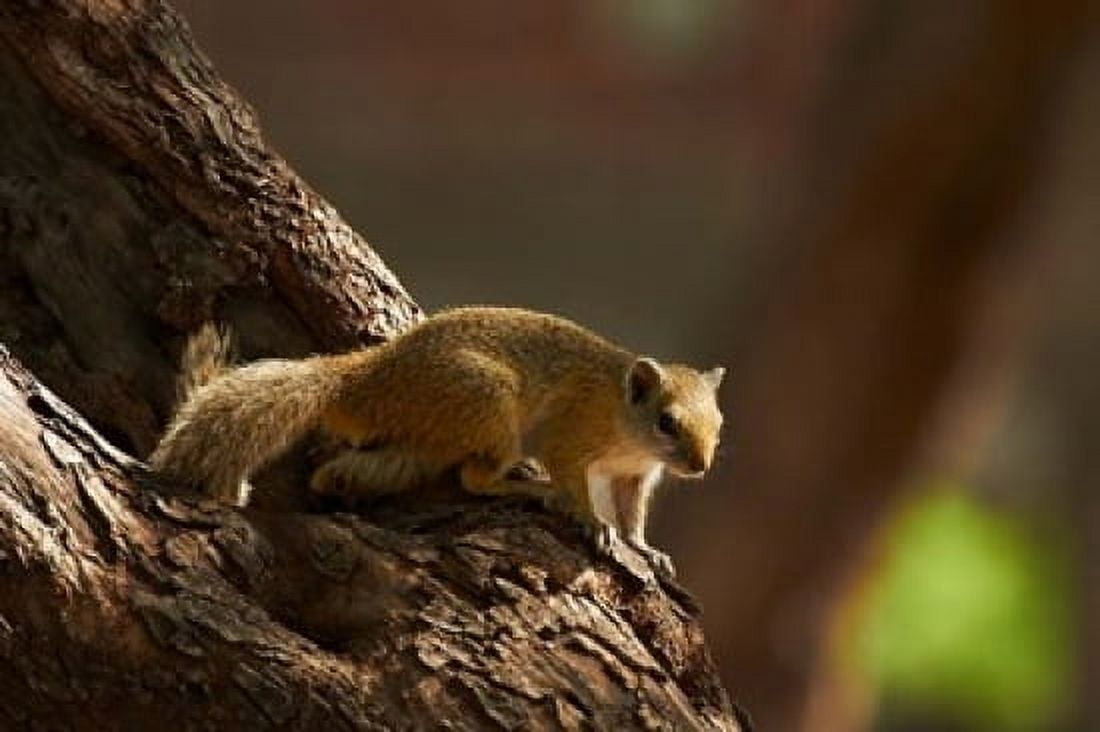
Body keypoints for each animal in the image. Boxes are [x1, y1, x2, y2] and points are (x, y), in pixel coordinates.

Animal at [149, 307, 725, 573]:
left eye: (719, 424)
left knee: (344, 473)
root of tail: (365, 378)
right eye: (667, 421)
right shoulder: (570, 438)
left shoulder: (635, 476)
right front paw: (591, 520)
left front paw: (643, 548)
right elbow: (579, 486)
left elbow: (633, 513)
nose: (700, 467)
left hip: (422, 442)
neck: (626, 425)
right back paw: (531, 490)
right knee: (475, 480)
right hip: (489, 409)